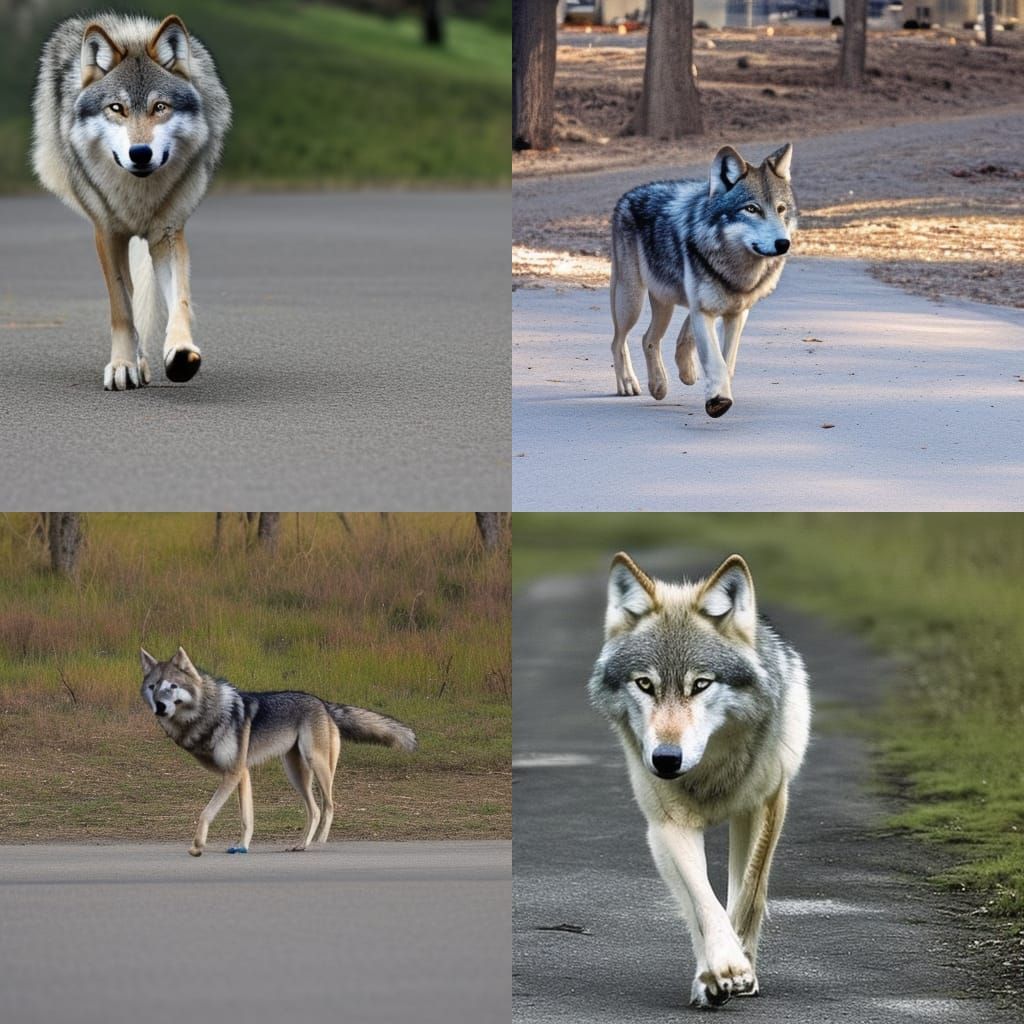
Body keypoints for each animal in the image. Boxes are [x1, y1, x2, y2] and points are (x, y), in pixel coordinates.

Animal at [32, 14, 231, 390]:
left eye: (160, 107)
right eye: (117, 108)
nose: (140, 153)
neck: (138, 197)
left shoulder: (168, 232)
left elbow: (179, 301)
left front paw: (181, 353)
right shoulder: (107, 233)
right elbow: (122, 309)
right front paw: (123, 365)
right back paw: (137, 365)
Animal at [140, 647, 417, 856]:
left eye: (173, 686)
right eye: (153, 687)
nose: (160, 706)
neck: (209, 713)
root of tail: (322, 703)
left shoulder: (233, 773)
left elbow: (205, 813)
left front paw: (197, 846)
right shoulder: (241, 773)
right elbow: (247, 818)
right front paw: (242, 847)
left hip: (315, 765)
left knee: (328, 805)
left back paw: (316, 842)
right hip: (295, 774)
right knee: (314, 809)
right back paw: (300, 844)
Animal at [588, 552, 811, 1008]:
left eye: (701, 684)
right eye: (645, 684)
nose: (665, 760)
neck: (710, 769)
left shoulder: (767, 804)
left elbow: (748, 893)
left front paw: (741, 965)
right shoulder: (669, 825)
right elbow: (703, 902)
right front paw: (722, 967)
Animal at [610, 144, 797, 418]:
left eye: (781, 209)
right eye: (751, 209)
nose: (783, 244)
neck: (735, 268)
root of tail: (627, 196)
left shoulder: (737, 313)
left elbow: (727, 360)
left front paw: (716, 390)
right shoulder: (705, 311)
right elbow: (716, 361)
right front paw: (718, 400)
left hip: (668, 302)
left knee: (650, 339)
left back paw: (665, 382)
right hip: (631, 302)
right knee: (619, 341)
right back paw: (629, 383)